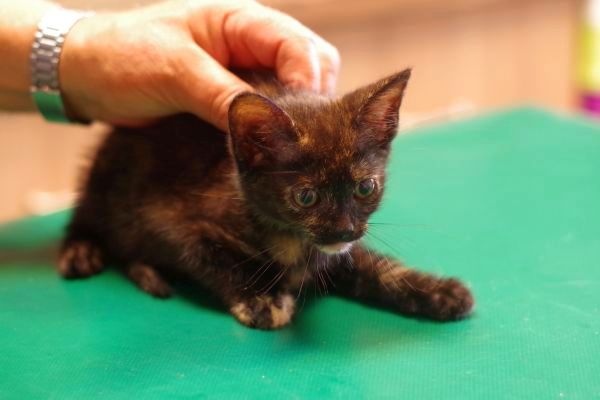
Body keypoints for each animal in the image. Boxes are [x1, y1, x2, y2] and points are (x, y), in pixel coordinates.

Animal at [58, 69, 474, 329]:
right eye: (306, 197)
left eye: (365, 188)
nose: (345, 228)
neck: (291, 240)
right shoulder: (170, 220)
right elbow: (212, 254)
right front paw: (261, 298)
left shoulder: (336, 251)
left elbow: (372, 266)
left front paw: (436, 290)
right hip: (107, 181)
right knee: (88, 215)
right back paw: (80, 249)